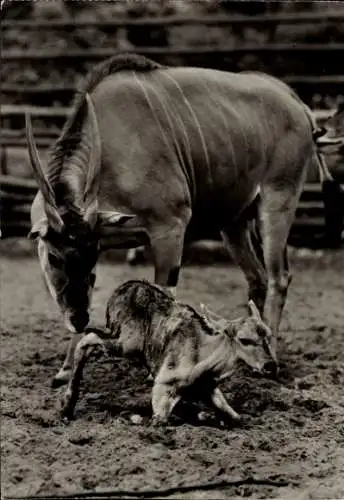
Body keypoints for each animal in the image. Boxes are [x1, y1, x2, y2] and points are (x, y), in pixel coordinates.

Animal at [26, 53, 342, 386]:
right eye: (53, 257)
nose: (76, 319)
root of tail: (298, 103)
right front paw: (65, 369)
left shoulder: (170, 228)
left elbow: (163, 296)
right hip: (234, 222)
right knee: (258, 277)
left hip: (278, 201)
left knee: (280, 277)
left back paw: (273, 354)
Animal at [60, 280, 278, 424]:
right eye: (244, 340)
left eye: (268, 336)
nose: (270, 366)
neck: (203, 353)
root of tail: (122, 290)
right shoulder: (163, 386)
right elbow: (159, 420)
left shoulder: (208, 389)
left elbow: (236, 418)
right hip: (127, 343)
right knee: (87, 338)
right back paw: (66, 408)